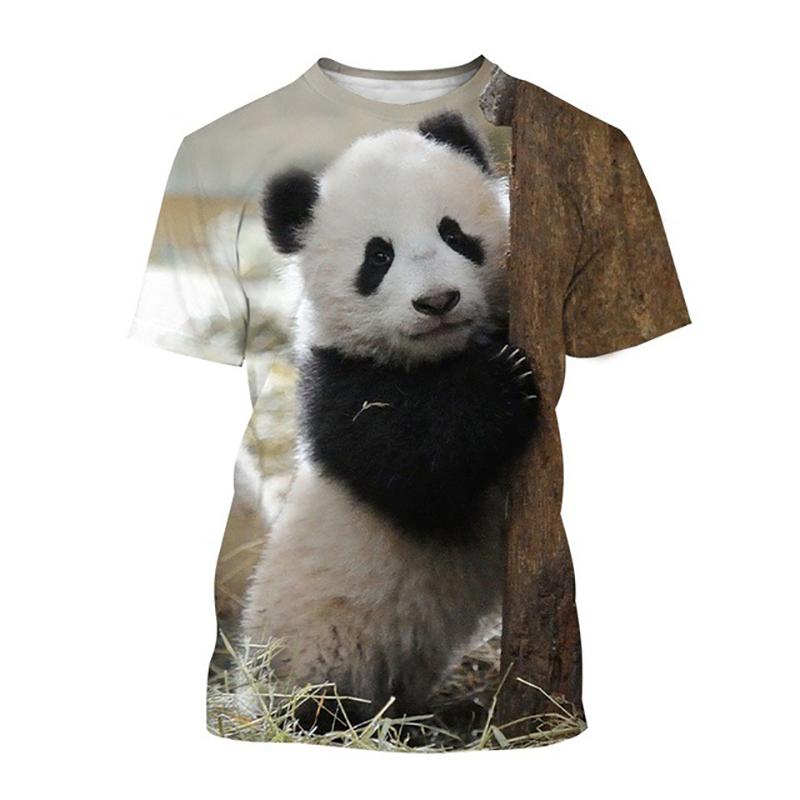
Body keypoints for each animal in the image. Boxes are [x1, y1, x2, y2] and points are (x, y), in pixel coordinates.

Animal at [240, 112, 537, 729]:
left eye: (454, 234)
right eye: (378, 257)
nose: (438, 301)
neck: (435, 358)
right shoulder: (338, 389)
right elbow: (417, 470)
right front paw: (502, 382)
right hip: (317, 645)